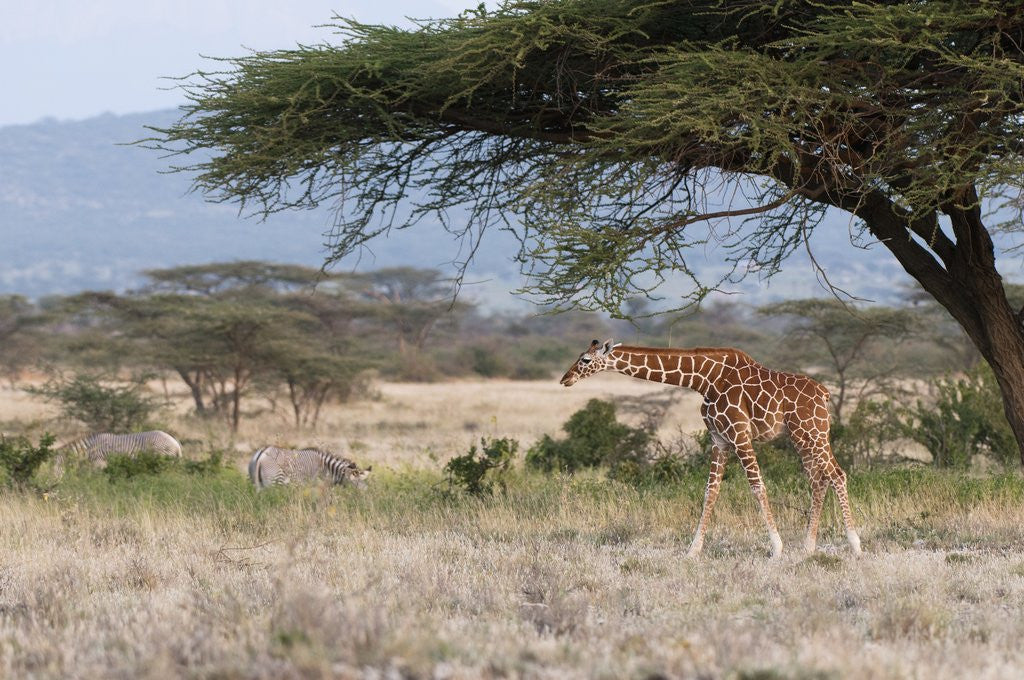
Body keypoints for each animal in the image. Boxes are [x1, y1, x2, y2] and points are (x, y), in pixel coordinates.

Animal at [559, 339, 861, 558]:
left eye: (585, 360)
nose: (565, 379)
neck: (704, 379)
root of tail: (824, 393)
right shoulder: (719, 439)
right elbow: (710, 491)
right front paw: (693, 550)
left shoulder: (740, 435)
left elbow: (758, 487)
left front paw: (776, 548)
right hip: (802, 437)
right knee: (818, 480)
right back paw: (808, 547)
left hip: (812, 433)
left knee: (837, 474)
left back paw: (855, 545)